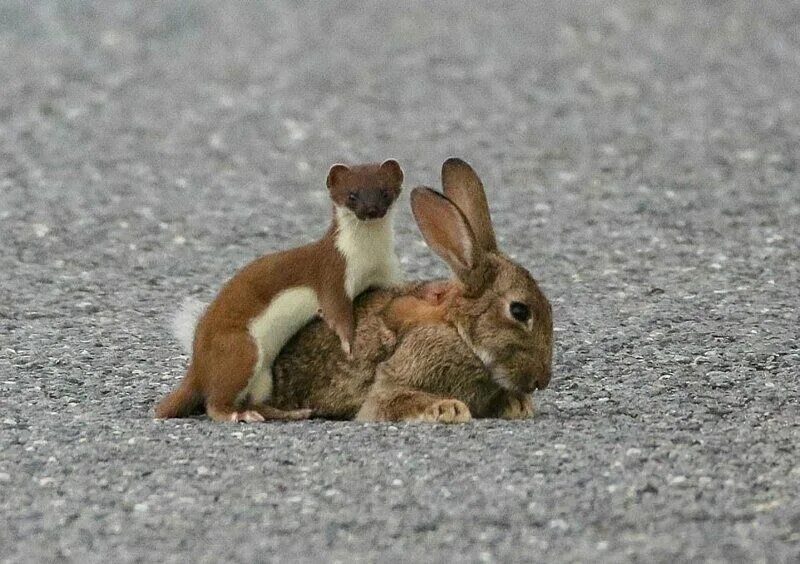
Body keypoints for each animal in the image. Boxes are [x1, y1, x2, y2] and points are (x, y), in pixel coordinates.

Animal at [155, 161, 406, 420]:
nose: (371, 210)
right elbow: (336, 312)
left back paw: (291, 412)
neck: (368, 259)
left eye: (384, 192)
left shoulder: (387, 271)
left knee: (255, 399)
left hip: (265, 377)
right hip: (240, 348)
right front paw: (349, 345)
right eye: (352, 195)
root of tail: (197, 361)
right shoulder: (333, 273)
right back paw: (240, 415)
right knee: (215, 400)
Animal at [266, 159, 552, 424]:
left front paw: (517, 405)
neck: (459, 332)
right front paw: (448, 409)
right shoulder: (389, 386)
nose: (542, 380)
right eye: (519, 311)